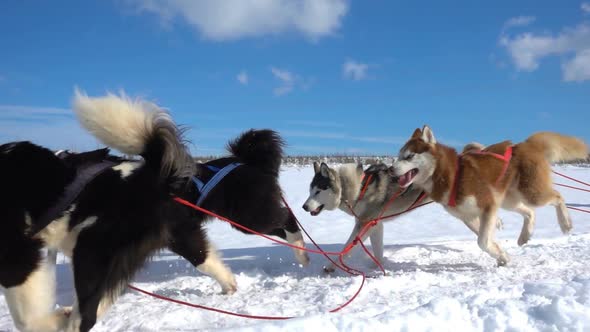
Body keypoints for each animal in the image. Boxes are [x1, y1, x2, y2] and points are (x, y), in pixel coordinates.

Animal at [1, 91, 310, 332]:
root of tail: (247, 161)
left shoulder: (19, 254)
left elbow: (27, 313)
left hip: (246, 218)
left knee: (287, 220)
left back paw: (301, 253)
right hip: (178, 235)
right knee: (205, 258)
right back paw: (232, 285)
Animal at [390, 126, 588, 266]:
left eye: (409, 156)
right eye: (398, 156)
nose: (390, 169)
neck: (453, 175)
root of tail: (525, 144)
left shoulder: (488, 206)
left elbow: (483, 241)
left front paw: (501, 255)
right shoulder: (469, 217)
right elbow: (484, 238)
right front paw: (501, 255)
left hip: (531, 193)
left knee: (558, 197)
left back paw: (565, 223)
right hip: (510, 200)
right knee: (530, 212)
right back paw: (525, 235)